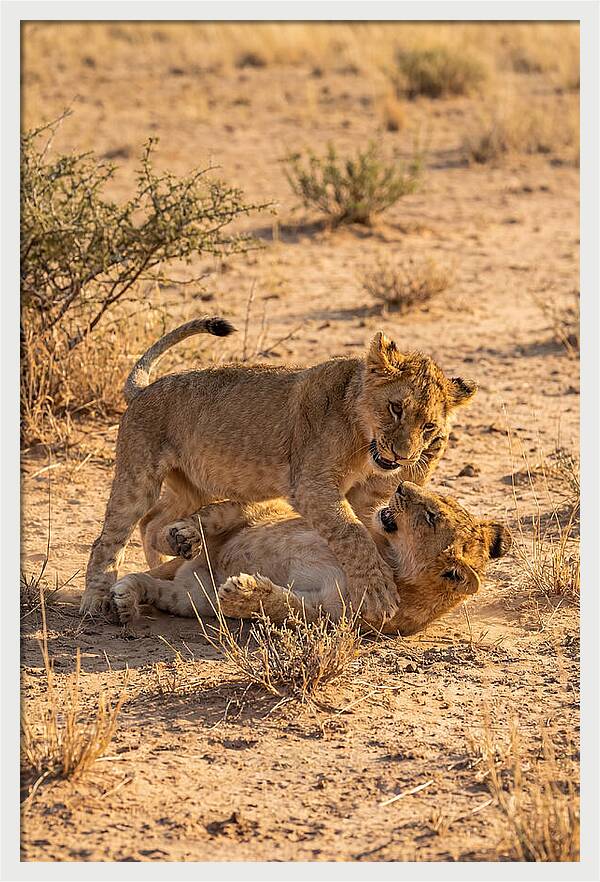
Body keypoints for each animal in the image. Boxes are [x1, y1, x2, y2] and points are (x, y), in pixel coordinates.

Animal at [82, 317, 477, 624]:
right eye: (396, 408)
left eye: (428, 426)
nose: (402, 455)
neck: (363, 440)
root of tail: (144, 389)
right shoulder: (312, 486)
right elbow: (352, 534)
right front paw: (378, 591)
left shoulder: (366, 495)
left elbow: (367, 525)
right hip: (139, 476)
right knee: (109, 539)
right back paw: (97, 601)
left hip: (193, 486)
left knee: (153, 522)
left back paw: (173, 552)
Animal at [109, 481, 511, 635]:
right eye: (436, 500)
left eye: (431, 517)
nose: (400, 486)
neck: (389, 556)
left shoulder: (328, 614)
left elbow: (284, 606)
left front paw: (243, 593)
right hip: (253, 509)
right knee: (211, 515)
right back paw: (181, 537)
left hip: (192, 597)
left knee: (154, 586)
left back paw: (125, 600)